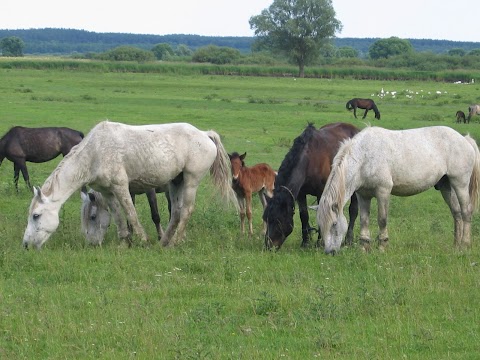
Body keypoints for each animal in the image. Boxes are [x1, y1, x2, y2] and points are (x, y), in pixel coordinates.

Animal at [22, 119, 236, 249]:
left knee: (186, 211)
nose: (26, 244)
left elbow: (131, 213)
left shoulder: (121, 187)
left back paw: (174, 242)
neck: (95, 153)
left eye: (36, 215)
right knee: (176, 212)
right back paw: (164, 242)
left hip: (191, 181)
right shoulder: (108, 192)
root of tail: (205, 134)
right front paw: (125, 241)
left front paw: (143, 240)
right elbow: (118, 216)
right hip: (176, 182)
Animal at [262, 121, 360, 250]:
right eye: (266, 219)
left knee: (353, 210)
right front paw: (305, 242)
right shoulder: (301, 194)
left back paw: (348, 239)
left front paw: (320, 242)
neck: (309, 159)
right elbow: (304, 215)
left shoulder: (322, 193)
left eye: (278, 221)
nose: (268, 246)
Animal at [316, 125, 478, 255]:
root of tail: (464, 139)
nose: (329, 252)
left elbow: (382, 219)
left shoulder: (383, 191)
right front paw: (364, 248)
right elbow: (364, 220)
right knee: (456, 213)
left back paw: (465, 245)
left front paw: (382, 247)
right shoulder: (363, 196)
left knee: (466, 212)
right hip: (446, 186)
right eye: (320, 225)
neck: (364, 157)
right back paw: (456, 245)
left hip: (460, 184)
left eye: (334, 224)